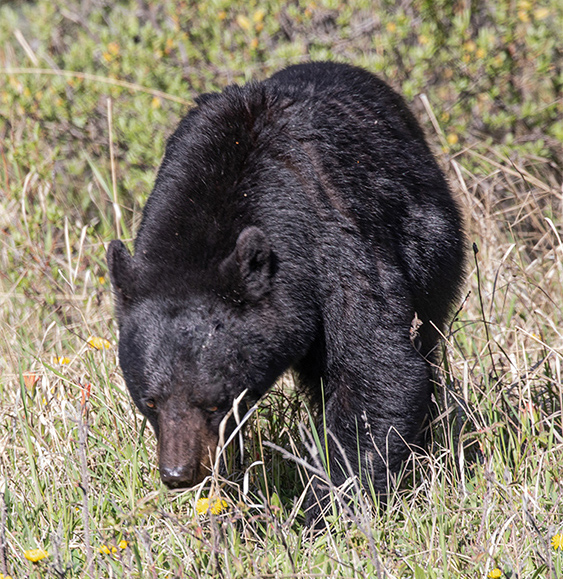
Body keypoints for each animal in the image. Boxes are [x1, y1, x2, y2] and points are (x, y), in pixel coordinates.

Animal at [108, 61, 464, 524]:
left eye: (216, 402)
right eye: (149, 401)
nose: (179, 472)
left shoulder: (336, 244)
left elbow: (378, 371)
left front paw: (323, 508)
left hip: (433, 255)